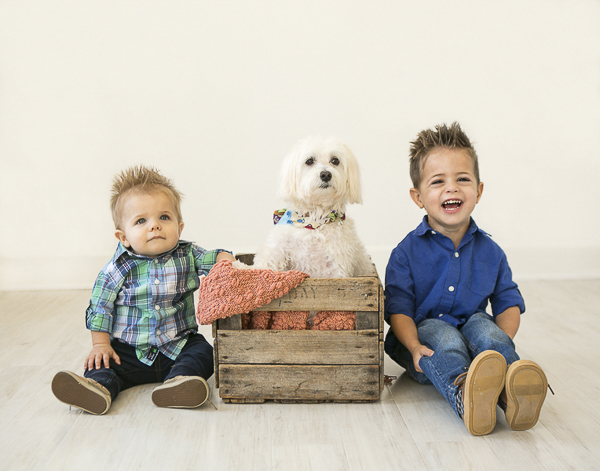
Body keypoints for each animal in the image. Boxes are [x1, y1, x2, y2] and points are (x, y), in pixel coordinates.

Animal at [237, 136, 372, 278]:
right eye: (309, 161)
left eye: (335, 160)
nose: (326, 174)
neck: (313, 221)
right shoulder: (276, 250)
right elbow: (261, 268)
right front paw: (239, 266)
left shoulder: (336, 267)